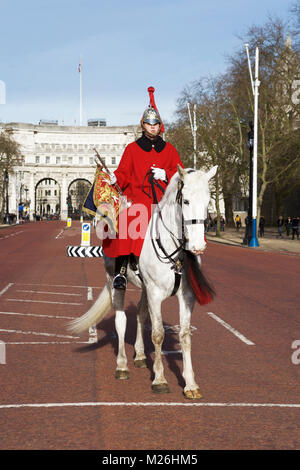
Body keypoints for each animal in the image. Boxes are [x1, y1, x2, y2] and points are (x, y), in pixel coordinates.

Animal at [69, 165, 217, 400]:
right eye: (185, 201)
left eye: (208, 200)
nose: (198, 246)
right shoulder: (155, 293)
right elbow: (158, 334)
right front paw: (160, 379)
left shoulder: (186, 297)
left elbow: (185, 336)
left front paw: (190, 384)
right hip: (115, 283)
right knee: (121, 321)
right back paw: (122, 365)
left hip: (145, 288)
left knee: (139, 313)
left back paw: (139, 355)